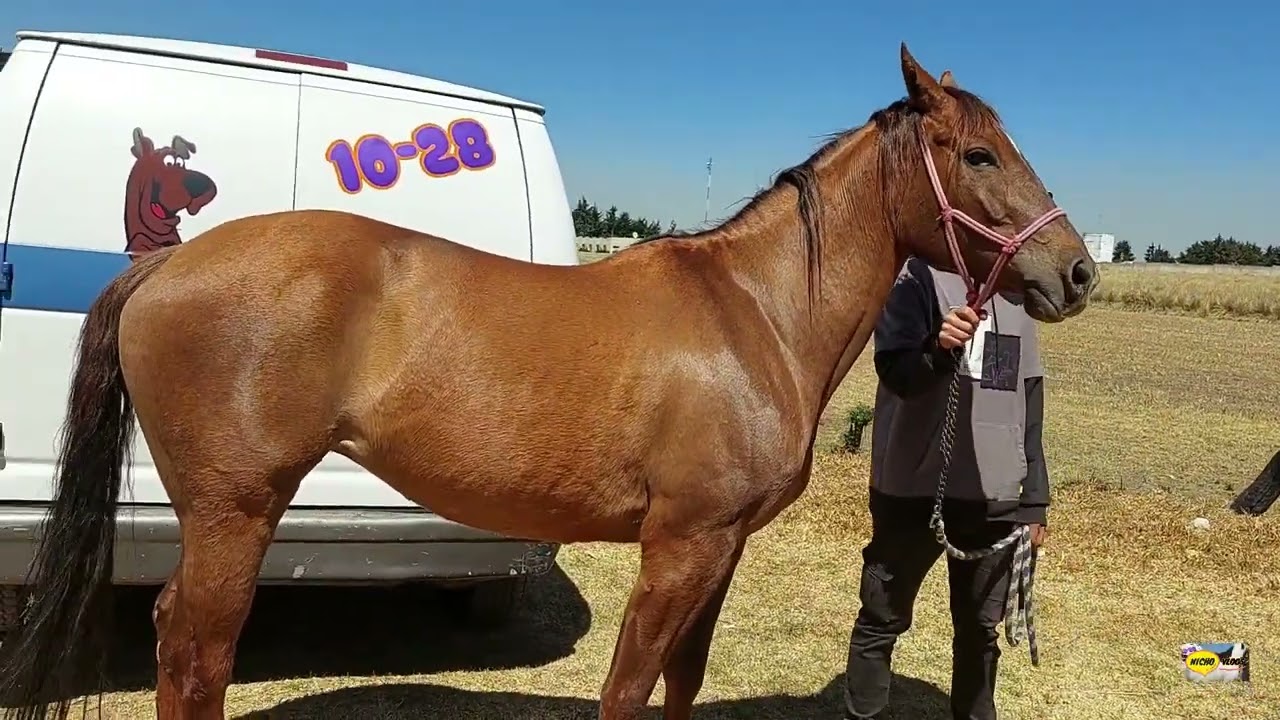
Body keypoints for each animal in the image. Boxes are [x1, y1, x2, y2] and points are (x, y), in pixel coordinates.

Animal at [0, 44, 1098, 720]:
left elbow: (682, 681)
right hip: (235, 511)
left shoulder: (721, 551)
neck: (751, 311)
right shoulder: (678, 548)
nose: (1077, 272)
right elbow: (628, 688)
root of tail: (165, 265)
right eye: (979, 153)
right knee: (195, 652)